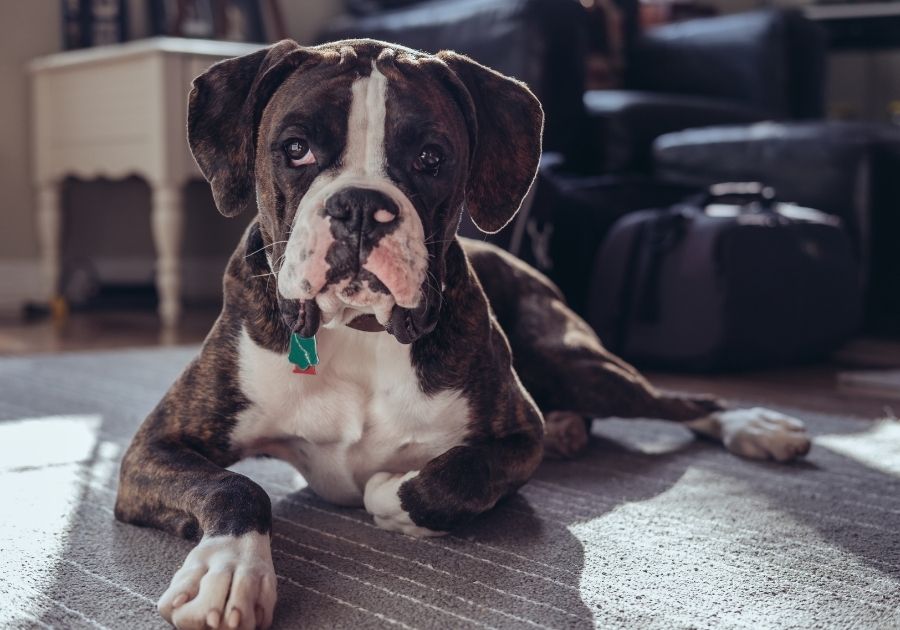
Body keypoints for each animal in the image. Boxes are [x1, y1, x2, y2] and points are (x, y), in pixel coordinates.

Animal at [116, 40, 812, 630]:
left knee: (684, 401)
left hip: (574, 361)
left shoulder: (517, 439)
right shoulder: (153, 450)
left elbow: (440, 480)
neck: (360, 331)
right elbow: (236, 485)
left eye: (430, 158)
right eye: (295, 149)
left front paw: (389, 491)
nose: (361, 207)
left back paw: (757, 426)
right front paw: (229, 570)